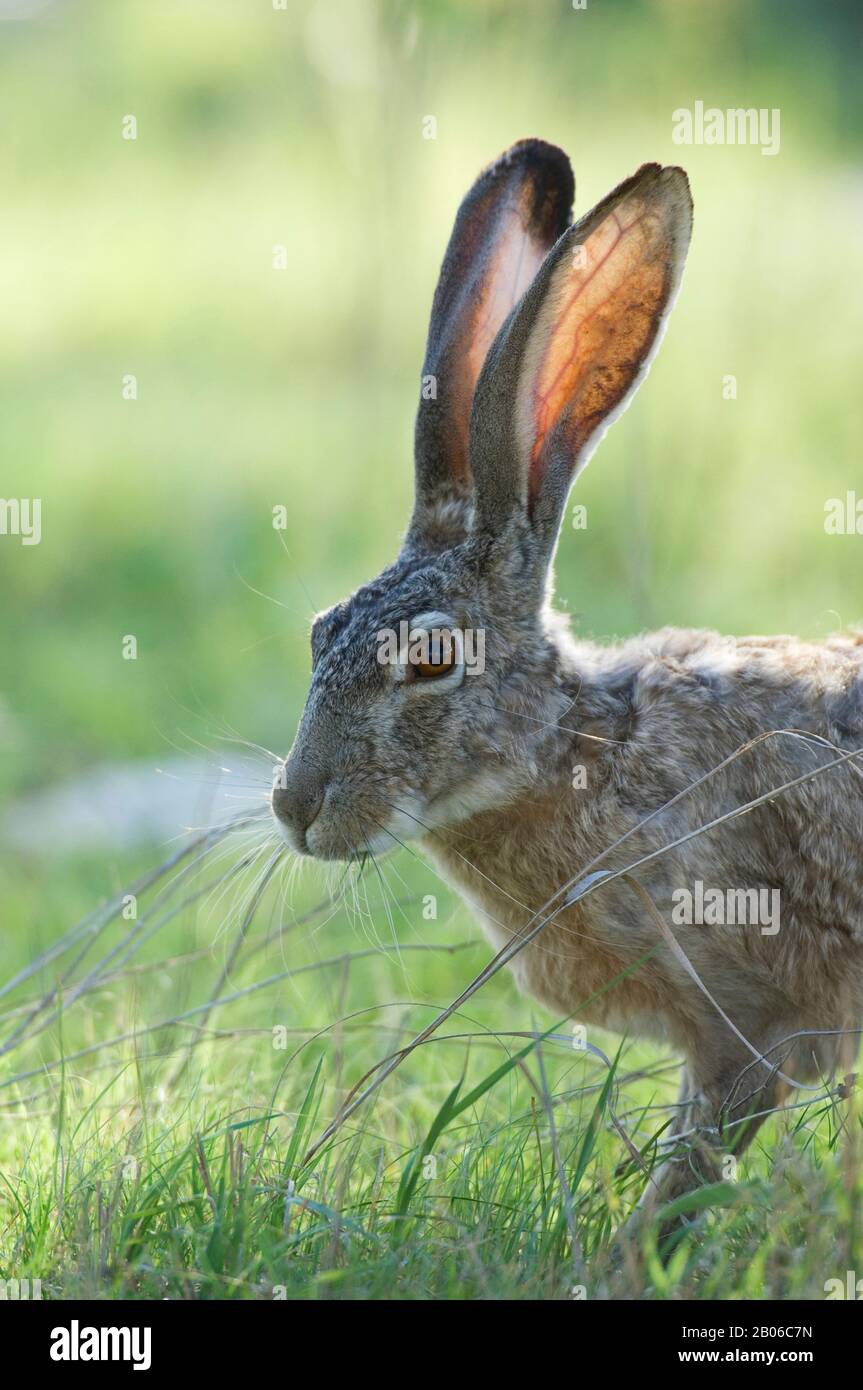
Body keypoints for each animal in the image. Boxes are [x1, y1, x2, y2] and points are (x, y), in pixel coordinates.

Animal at [271, 138, 863, 1235]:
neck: (574, 751)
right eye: (320, 631)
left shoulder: (746, 1027)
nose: (294, 807)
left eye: (428, 662)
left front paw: (626, 1255)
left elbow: (693, 1168)